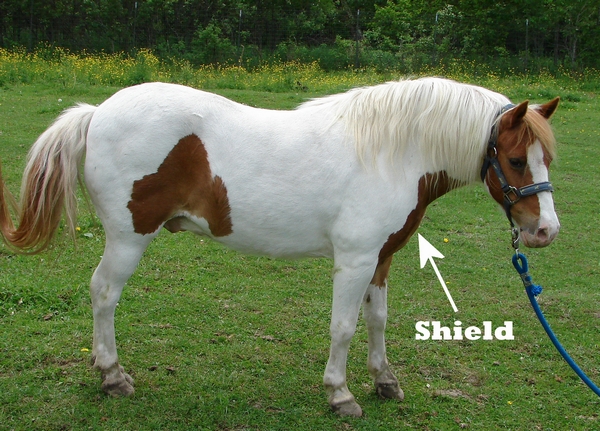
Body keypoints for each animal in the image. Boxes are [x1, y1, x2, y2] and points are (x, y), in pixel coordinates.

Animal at [0, 78, 560, 418]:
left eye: (545, 157)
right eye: (515, 160)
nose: (545, 231)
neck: (391, 153)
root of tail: (96, 113)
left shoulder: (381, 259)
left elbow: (378, 321)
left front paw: (384, 380)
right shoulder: (354, 261)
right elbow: (344, 326)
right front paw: (340, 393)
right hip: (127, 239)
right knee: (103, 295)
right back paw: (113, 376)